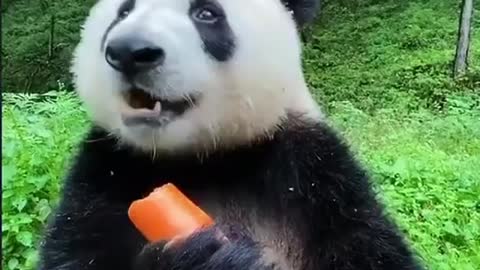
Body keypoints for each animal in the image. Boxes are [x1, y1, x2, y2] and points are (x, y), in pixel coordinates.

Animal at [36, 0, 424, 268]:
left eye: (206, 14)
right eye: (123, 11)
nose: (129, 51)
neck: (206, 157)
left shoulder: (316, 175)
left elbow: (372, 250)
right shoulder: (106, 171)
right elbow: (73, 253)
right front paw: (200, 257)